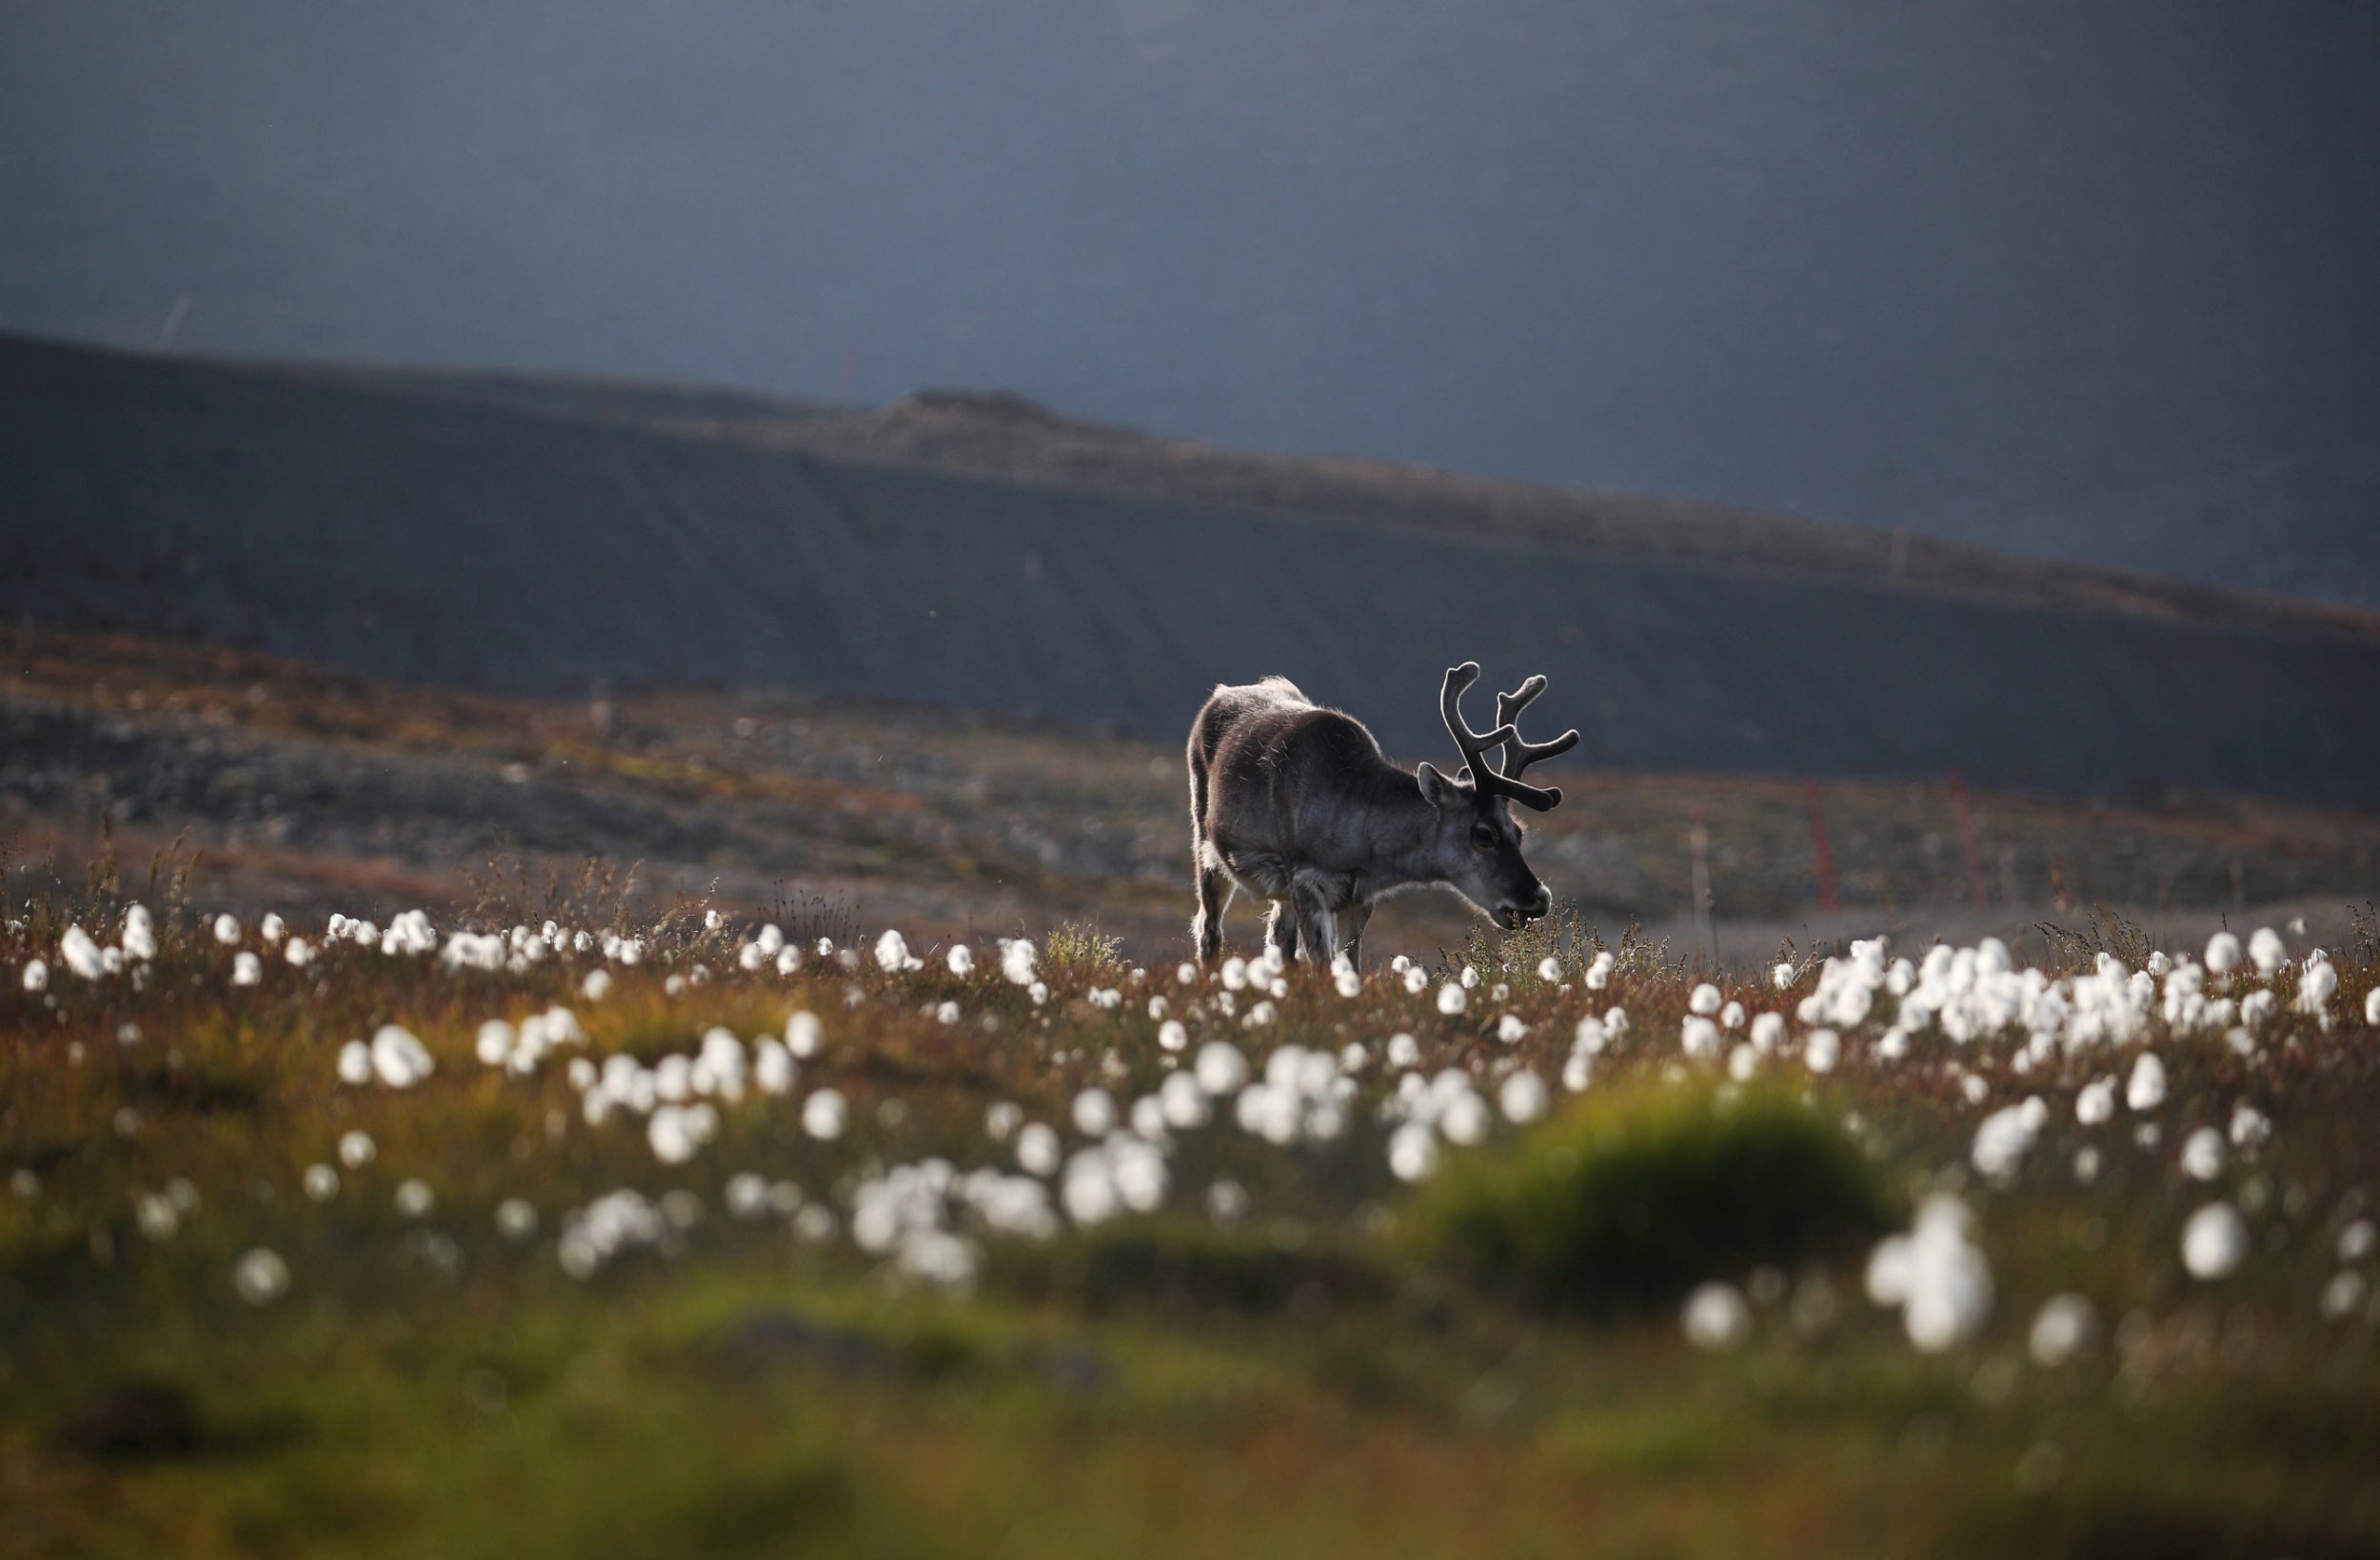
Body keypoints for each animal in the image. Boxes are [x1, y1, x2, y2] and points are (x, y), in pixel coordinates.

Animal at [1187, 662, 1579, 971]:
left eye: (1519, 831)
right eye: (1483, 834)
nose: (1538, 899)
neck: (1364, 851)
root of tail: (1219, 693)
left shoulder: (1358, 899)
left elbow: (1350, 969)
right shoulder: (1306, 881)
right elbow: (1323, 969)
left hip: (1278, 891)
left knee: (1278, 940)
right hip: (1206, 846)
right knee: (1208, 929)